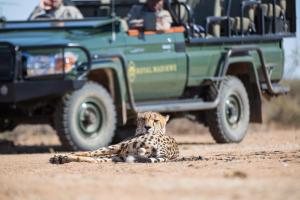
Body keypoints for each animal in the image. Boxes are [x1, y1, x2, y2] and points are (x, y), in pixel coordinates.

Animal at [50, 111, 179, 163]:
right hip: (121, 155)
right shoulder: (118, 154)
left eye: (156, 121)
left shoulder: (119, 147)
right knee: (95, 160)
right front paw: (60, 157)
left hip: (119, 147)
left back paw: (63, 156)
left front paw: (63, 155)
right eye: (143, 119)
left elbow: (88, 152)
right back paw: (61, 158)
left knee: (91, 154)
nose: (147, 127)